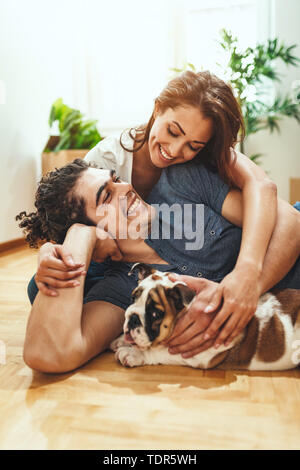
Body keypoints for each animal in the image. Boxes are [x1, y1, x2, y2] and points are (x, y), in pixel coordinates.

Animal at [110, 264, 300, 370]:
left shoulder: (198, 354)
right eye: (133, 298)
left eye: (155, 314)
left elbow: (161, 352)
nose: (133, 318)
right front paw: (121, 340)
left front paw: (133, 354)